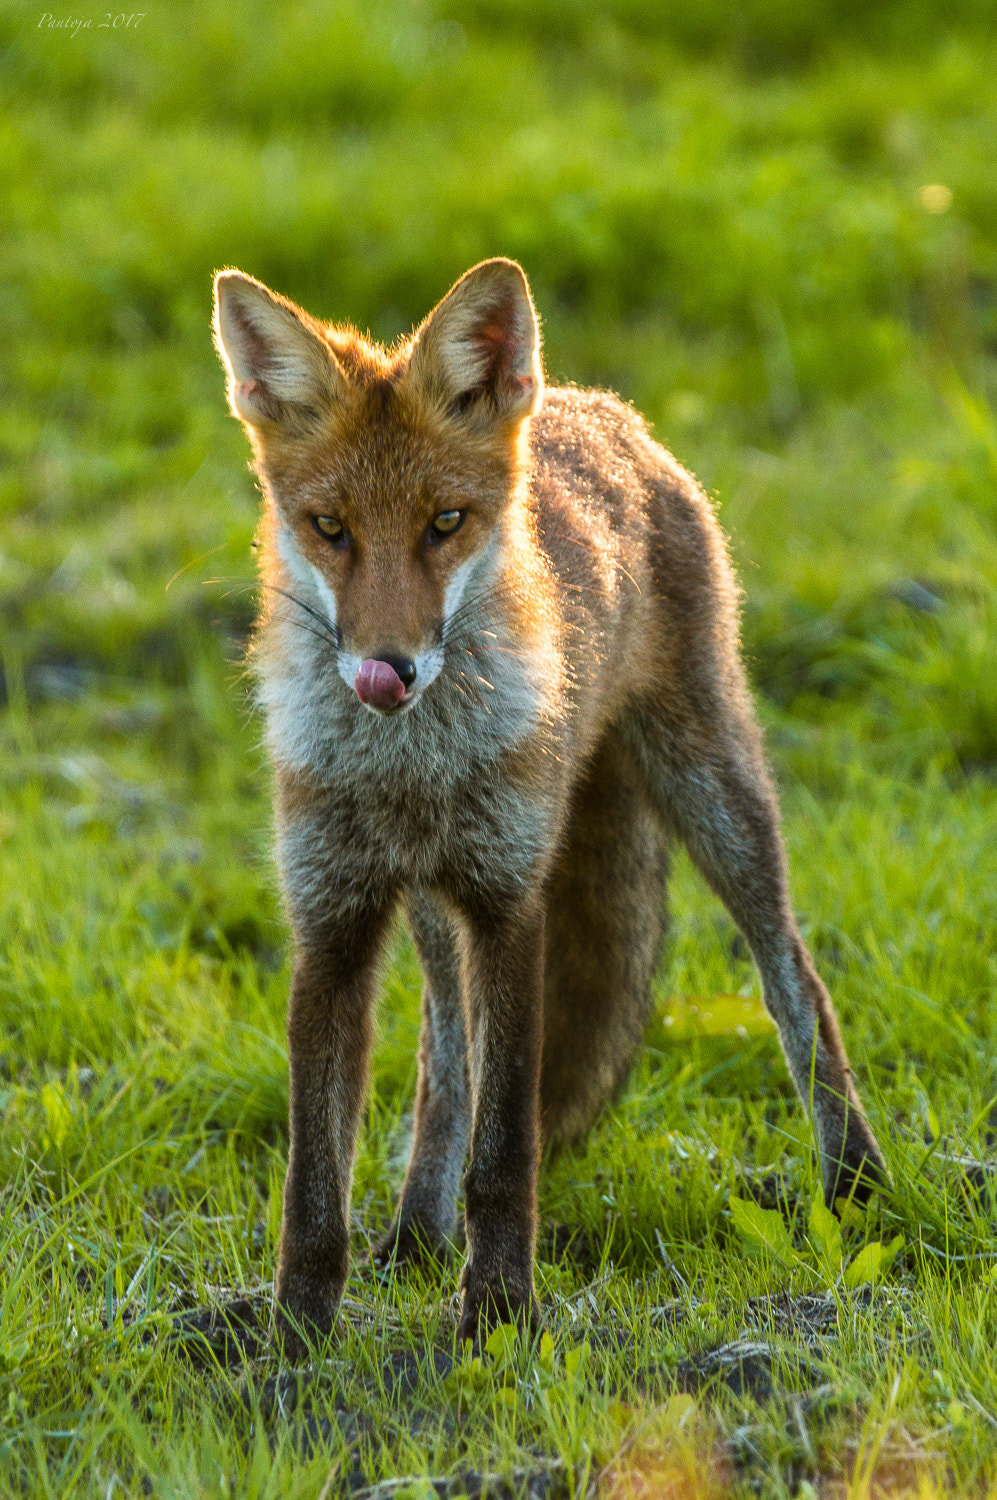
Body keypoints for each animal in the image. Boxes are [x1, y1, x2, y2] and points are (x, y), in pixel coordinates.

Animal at [214, 252, 881, 1356]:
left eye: (445, 524)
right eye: (330, 530)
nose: (387, 670)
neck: (412, 769)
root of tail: (593, 405)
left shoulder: (508, 906)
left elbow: (507, 1149)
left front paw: (497, 1316)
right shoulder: (333, 919)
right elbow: (315, 1181)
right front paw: (295, 1342)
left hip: (715, 794)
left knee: (796, 979)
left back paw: (855, 1185)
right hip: (431, 908)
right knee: (442, 1062)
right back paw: (413, 1231)